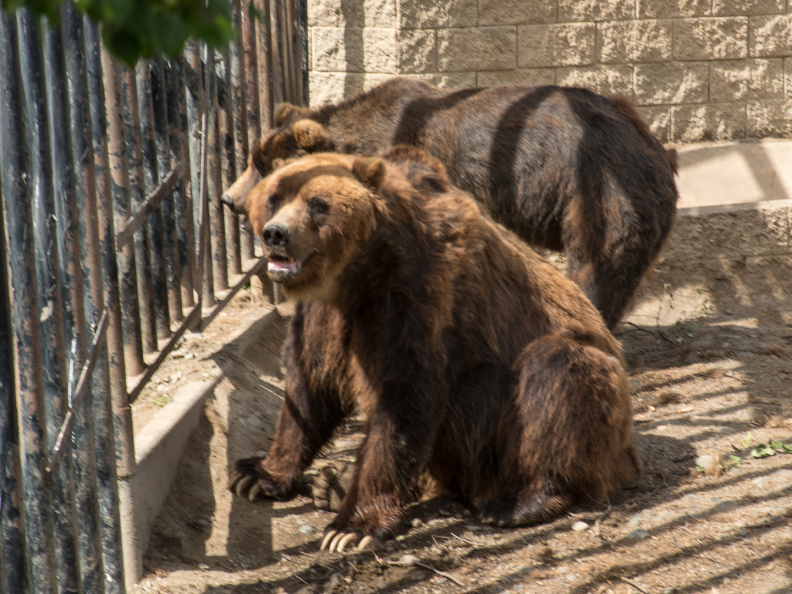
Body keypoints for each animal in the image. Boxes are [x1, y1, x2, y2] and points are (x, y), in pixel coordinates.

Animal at [221, 77, 679, 328]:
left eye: (262, 167)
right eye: (252, 160)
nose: (229, 198)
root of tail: (653, 144)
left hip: (599, 189)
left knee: (597, 264)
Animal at [228, 147, 641, 553]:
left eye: (318, 203)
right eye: (274, 197)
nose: (276, 233)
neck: (356, 274)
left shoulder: (414, 300)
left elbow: (404, 399)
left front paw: (352, 528)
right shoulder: (324, 316)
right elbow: (309, 386)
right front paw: (257, 474)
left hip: (558, 415)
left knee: (557, 373)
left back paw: (522, 500)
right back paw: (333, 483)